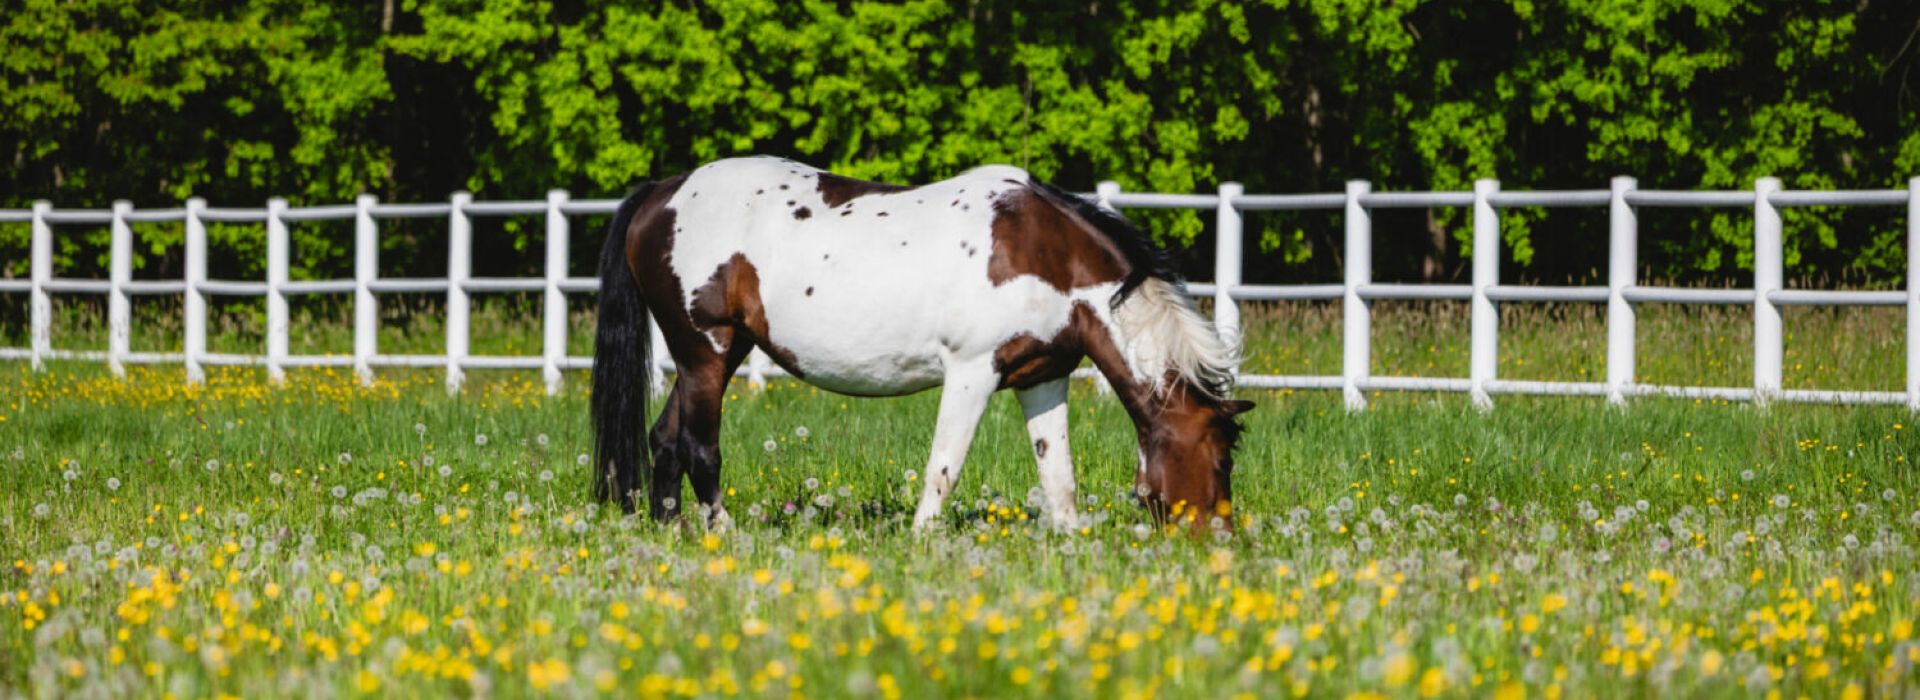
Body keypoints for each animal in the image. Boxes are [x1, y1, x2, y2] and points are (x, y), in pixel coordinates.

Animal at [591, 156, 1253, 530]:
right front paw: (922, 543)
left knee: (664, 440)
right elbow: (943, 469)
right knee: (699, 448)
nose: (1217, 544)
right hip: (705, 351)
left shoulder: (1042, 378)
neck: (1048, 256)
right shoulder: (971, 373)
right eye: (1221, 460)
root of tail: (664, 192)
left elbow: (1058, 479)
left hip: (715, 356)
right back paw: (724, 534)